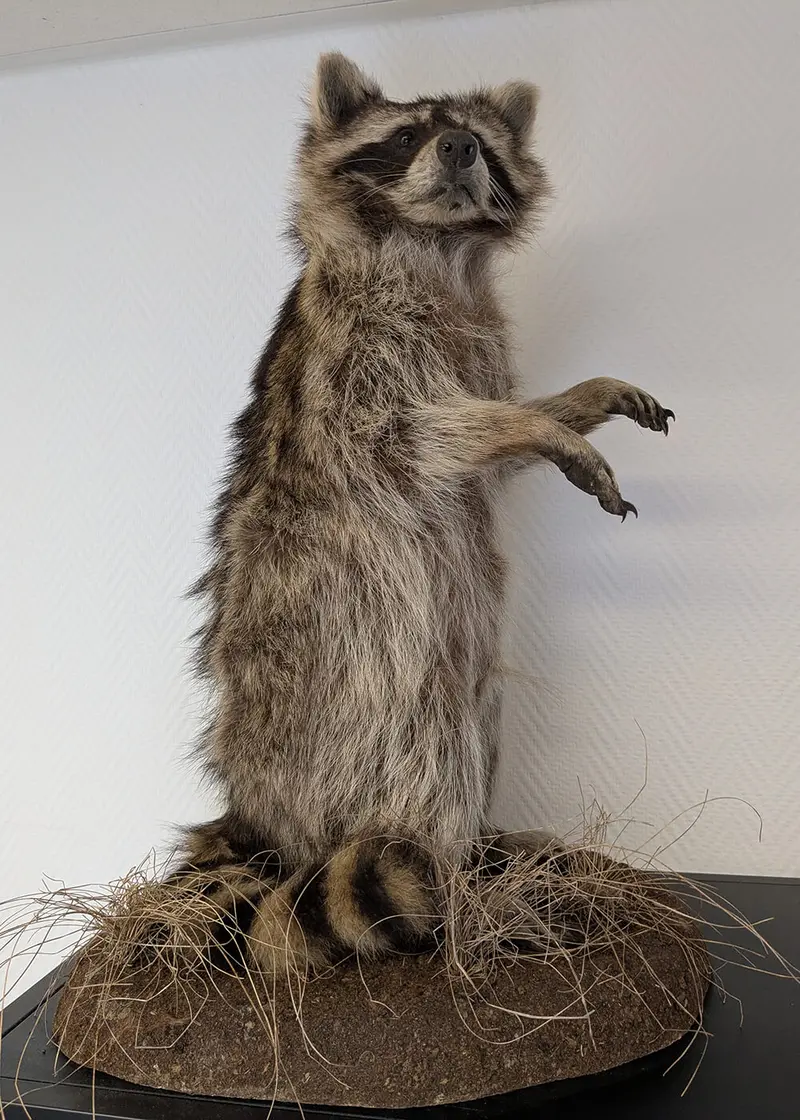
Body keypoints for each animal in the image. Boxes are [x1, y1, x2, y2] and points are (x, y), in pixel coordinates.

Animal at [173, 52, 673, 974]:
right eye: (408, 135)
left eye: (477, 137)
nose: (459, 148)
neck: (433, 248)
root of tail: (257, 817)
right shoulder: (354, 362)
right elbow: (415, 436)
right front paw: (538, 426)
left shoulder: (479, 340)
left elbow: (490, 450)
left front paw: (571, 403)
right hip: (342, 680)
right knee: (420, 752)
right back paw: (461, 895)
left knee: (477, 717)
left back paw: (487, 858)